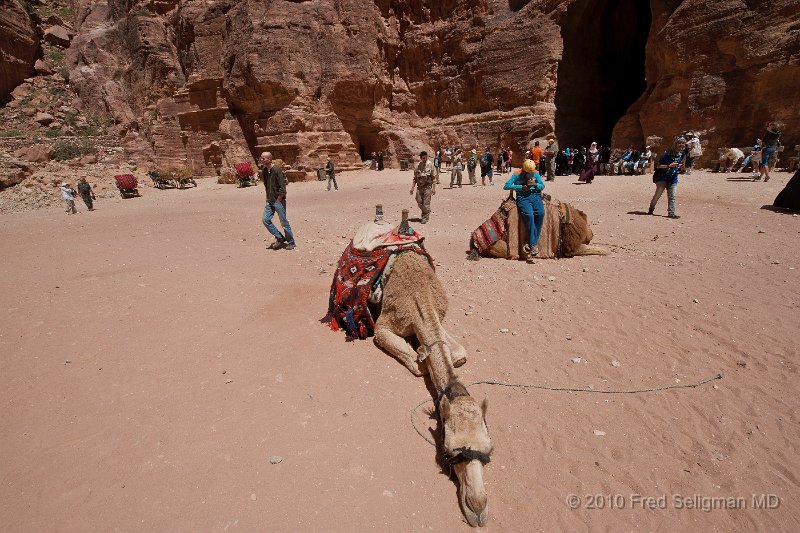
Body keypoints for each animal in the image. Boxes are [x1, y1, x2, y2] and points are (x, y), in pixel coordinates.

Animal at [376, 251, 494, 524]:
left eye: (489, 450)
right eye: (450, 451)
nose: (477, 508)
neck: (421, 299)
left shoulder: (438, 321)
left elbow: (459, 354)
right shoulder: (383, 324)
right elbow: (419, 365)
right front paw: (420, 355)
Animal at [468, 196, 608, 260]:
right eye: (589, 224)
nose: (592, 234)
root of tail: (474, 240)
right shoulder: (569, 248)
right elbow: (593, 249)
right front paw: (607, 250)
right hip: (501, 246)